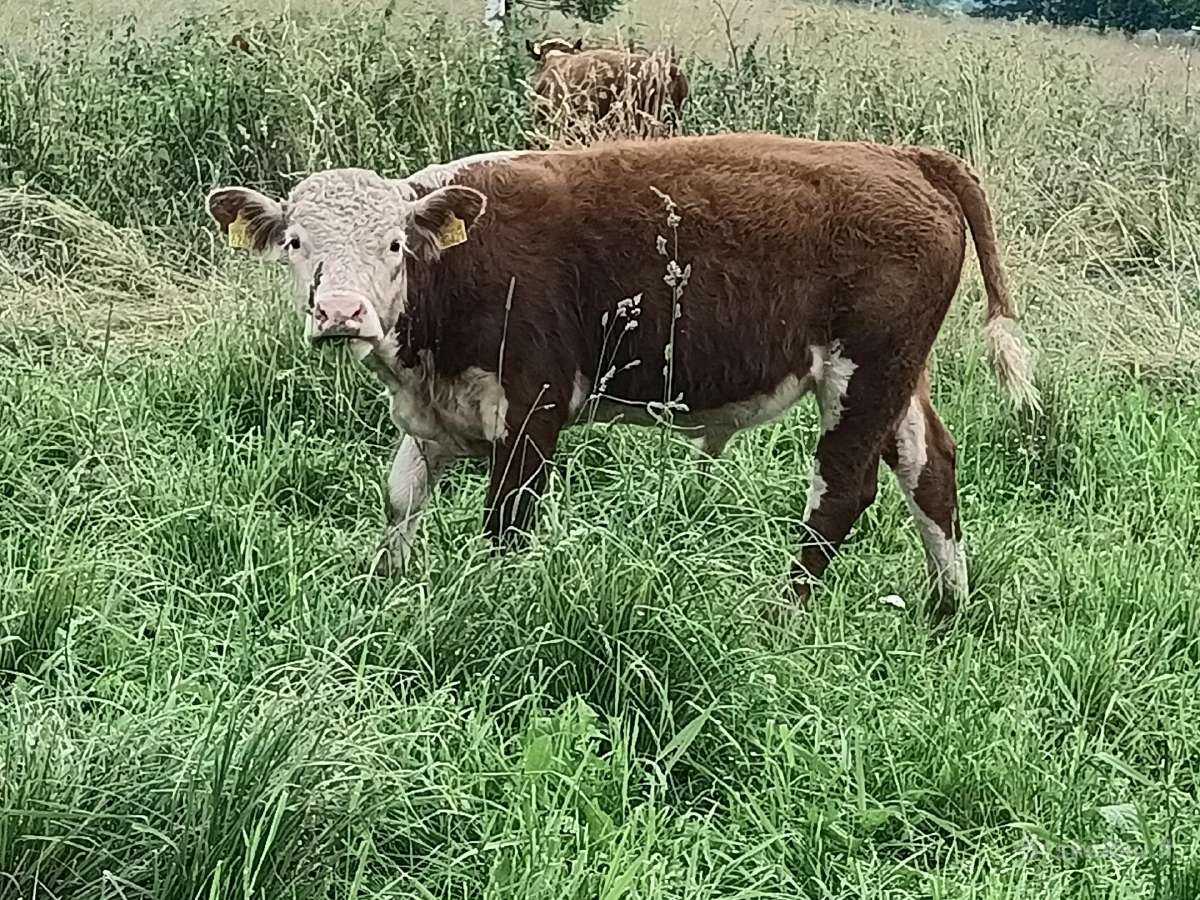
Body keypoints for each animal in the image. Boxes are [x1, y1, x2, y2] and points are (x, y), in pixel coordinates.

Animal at [205, 133, 1038, 616]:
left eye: (393, 244)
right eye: (297, 242)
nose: (341, 313)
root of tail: (902, 157)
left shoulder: (532, 411)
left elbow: (506, 523)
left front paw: (493, 609)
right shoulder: (433, 415)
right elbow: (400, 501)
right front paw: (384, 589)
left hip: (865, 370)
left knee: (842, 489)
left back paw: (783, 611)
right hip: (897, 373)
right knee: (929, 467)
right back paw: (947, 608)